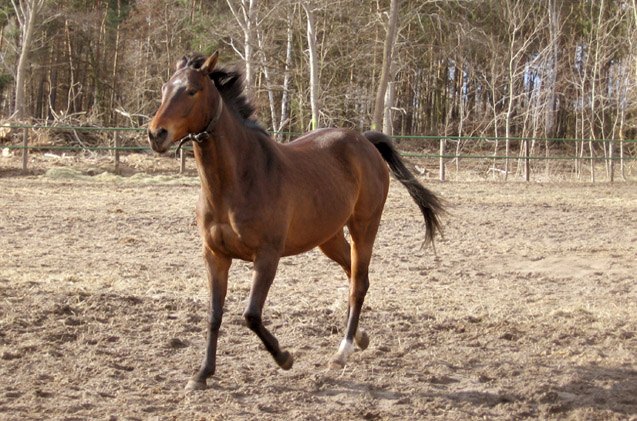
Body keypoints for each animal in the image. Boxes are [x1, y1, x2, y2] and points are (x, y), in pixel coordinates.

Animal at [148, 52, 442, 390]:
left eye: (192, 91)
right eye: (164, 89)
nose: (156, 134)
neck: (237, 181)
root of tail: (365, 141)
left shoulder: (267, 256)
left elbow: (251, 315)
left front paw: (284, 358)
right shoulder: (216, 256)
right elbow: (214, 314)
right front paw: (202, 374)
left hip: (364, 227)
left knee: (358, 283)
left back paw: (342, 351)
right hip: (328, 238)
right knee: (353, 274)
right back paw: (361, 337)